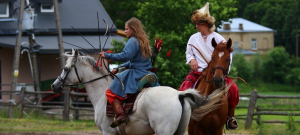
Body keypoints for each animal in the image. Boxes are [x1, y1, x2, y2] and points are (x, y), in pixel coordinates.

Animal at [52, 49, 227, 135]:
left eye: (65, 68)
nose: (54, 86)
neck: (101, 95)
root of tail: (179, 95)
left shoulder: (108, 132)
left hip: (164, 132)